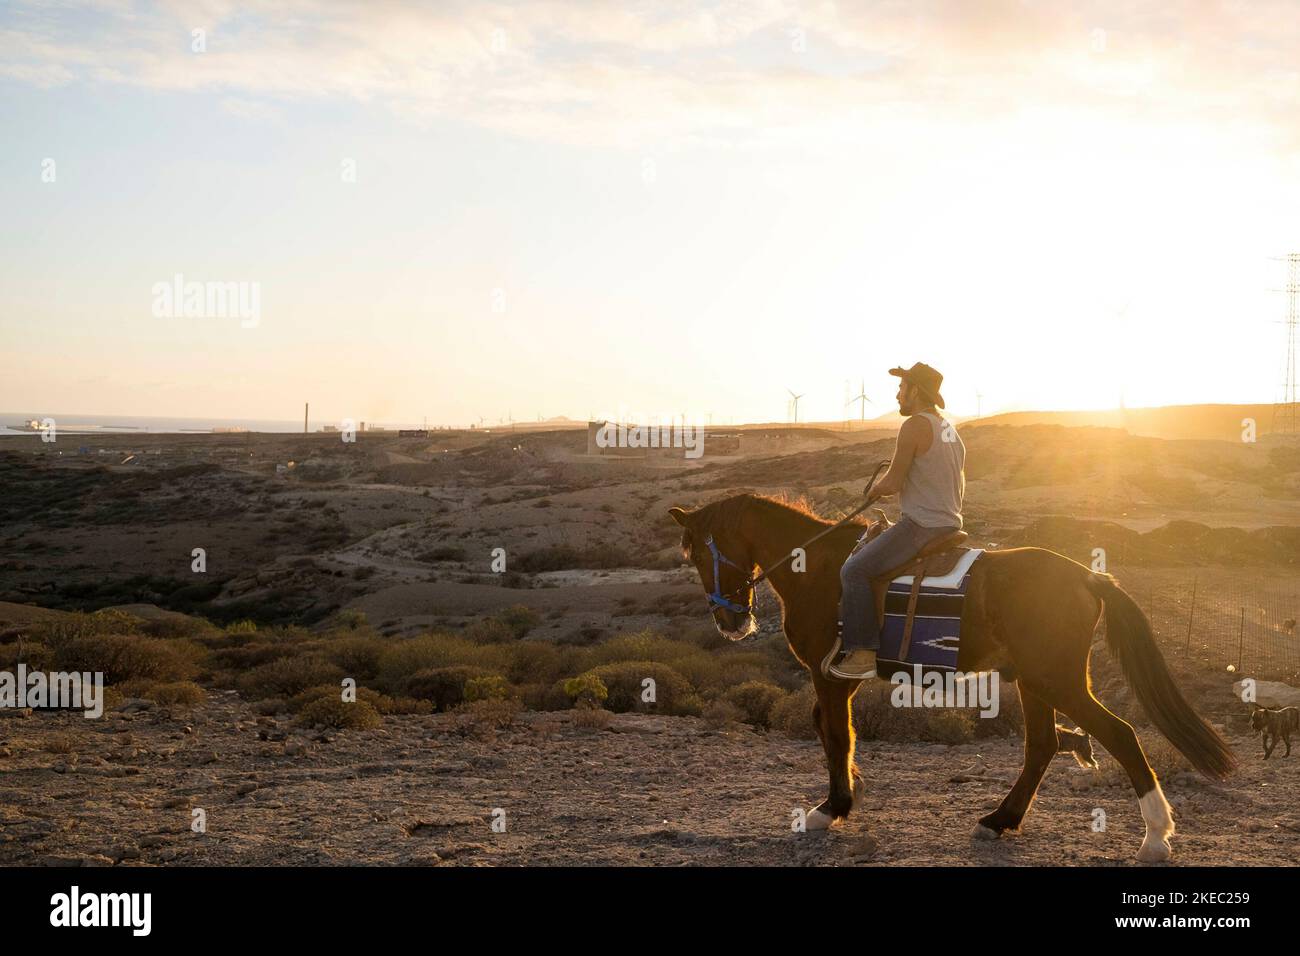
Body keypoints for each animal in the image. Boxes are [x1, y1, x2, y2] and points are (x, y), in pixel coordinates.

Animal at [670, 496, 1237, 863]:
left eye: (697, 552)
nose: (729, 622)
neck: (821, 568)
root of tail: (1086, 575)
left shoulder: (826, 675)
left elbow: (833, 735)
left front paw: (831, 809)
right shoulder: (842, 676)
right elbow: (834, 732)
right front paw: (849, 792)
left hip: (1057, 680)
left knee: (1118, 734)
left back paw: (1156, 837)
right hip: (1034, 682)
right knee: (1043, 746)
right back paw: (1000, 820)